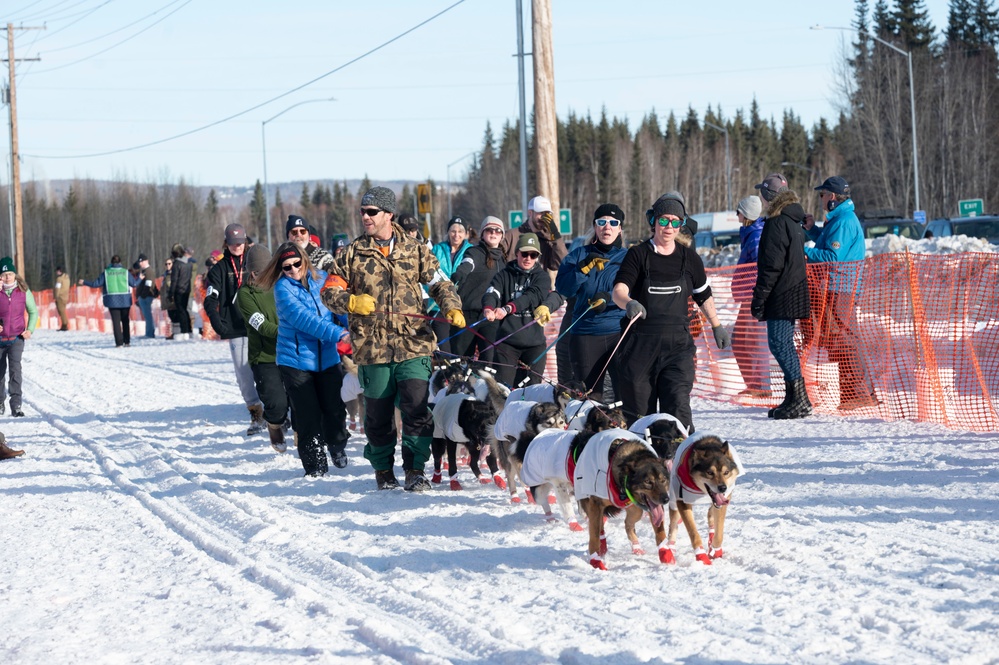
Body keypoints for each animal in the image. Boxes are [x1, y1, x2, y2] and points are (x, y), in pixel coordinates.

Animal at [572, 430, 672, 572]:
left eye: (663, 480)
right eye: (648, 482)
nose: (665, 499)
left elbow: (660, 532)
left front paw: (666, 554)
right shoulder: (596, 504)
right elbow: (594, 536)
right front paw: (596, 561)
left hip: (635, 509)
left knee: (628, 523)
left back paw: (636, 547)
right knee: (598, 526)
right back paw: (602, 548)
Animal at [664, 430, 744, 564]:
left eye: (726, 472)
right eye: (710, 473)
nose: (722, 488)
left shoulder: (723, 501)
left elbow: (719, 533)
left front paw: (716, 551)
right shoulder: (683, 502)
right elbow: (693, 533)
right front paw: (701, 556)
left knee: (710, 516)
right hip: (674, 503)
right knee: (673, 526)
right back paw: (670, 549)